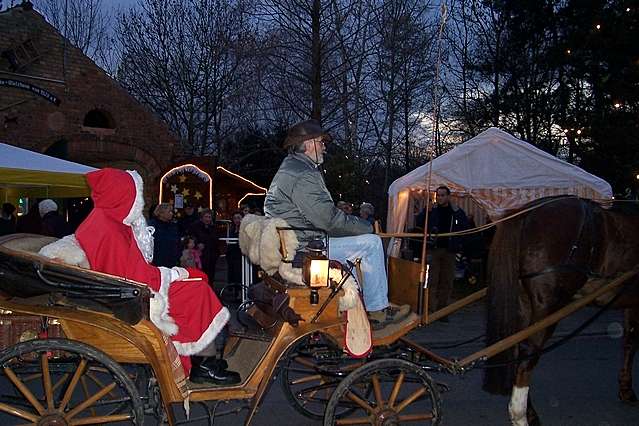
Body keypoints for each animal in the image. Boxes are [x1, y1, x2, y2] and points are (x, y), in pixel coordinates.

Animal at [484, 196, 639, 426]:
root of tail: (528, 211)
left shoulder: (631, 304)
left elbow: (629, 341)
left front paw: (626, 389)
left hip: (524, 305)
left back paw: (529, 412)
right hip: (547, 307)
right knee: (528, 357)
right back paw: (519, 415)